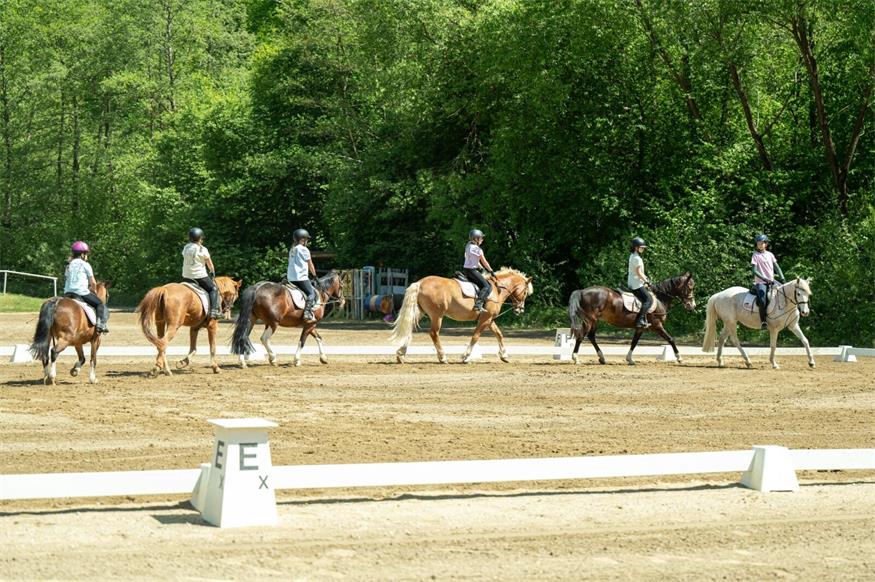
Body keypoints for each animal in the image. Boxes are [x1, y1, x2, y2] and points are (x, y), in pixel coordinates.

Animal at [390, 268, 534, 364]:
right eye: (525, 292)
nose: (520, 310)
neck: (497, 289)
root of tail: (420, 283)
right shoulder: (485, 319)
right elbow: (475, 336)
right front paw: (465, 356)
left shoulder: (489, 319)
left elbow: (499, 334)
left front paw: (504, 356)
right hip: (437, 315)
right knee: (434, 333)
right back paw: (443, 357)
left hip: (420, 312)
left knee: (410, 329)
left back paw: (401, 355)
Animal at [567, 273, 696, 365]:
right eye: (690, 288)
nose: (692, 305)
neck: (660, 298)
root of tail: (582, 291)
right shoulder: (657, 325)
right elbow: (671, 339)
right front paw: (679, 358)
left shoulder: (640, 328)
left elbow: (634, 342)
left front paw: (629, 359)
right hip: (590, 320)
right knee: (581, 336)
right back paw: (576, 358)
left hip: (594, 321)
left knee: (591, 336)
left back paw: (602, 358)